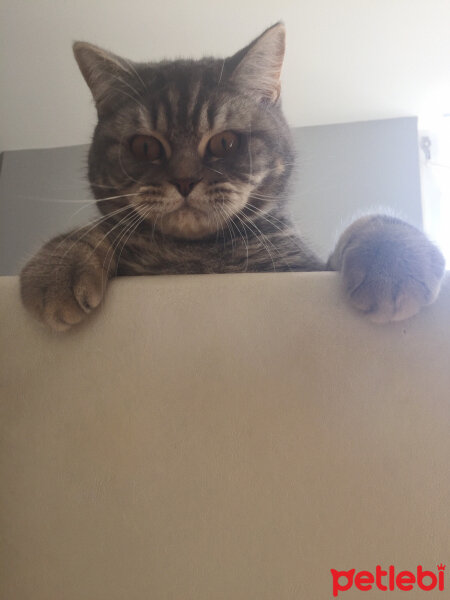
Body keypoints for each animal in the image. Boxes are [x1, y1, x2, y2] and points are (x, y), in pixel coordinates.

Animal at [19, 24, 444, 332]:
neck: (200, 261)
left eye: (224, 142)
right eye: (145, 146)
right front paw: (57, 265)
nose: (184, 180)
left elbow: (369, 221)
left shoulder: (306, 269)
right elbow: (92, 231)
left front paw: (394, 258)